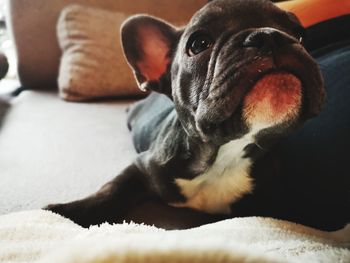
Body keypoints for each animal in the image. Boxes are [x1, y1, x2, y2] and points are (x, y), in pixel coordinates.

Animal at [46, 0, 350, 231]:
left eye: (301, 36)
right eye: (199, 43)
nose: (268, 35)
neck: (222, 155)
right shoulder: (142, 166)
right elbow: (110, 189)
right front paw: (63, 212)